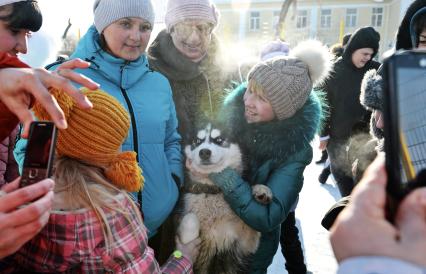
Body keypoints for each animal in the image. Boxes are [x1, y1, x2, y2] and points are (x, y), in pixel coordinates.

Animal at [177, 122, 272, 274]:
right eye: (197, 141)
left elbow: (255, 226)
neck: (212, 190)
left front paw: (261, 190)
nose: (204, 152)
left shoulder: (245, 245)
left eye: (219, 140)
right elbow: (190, 218)